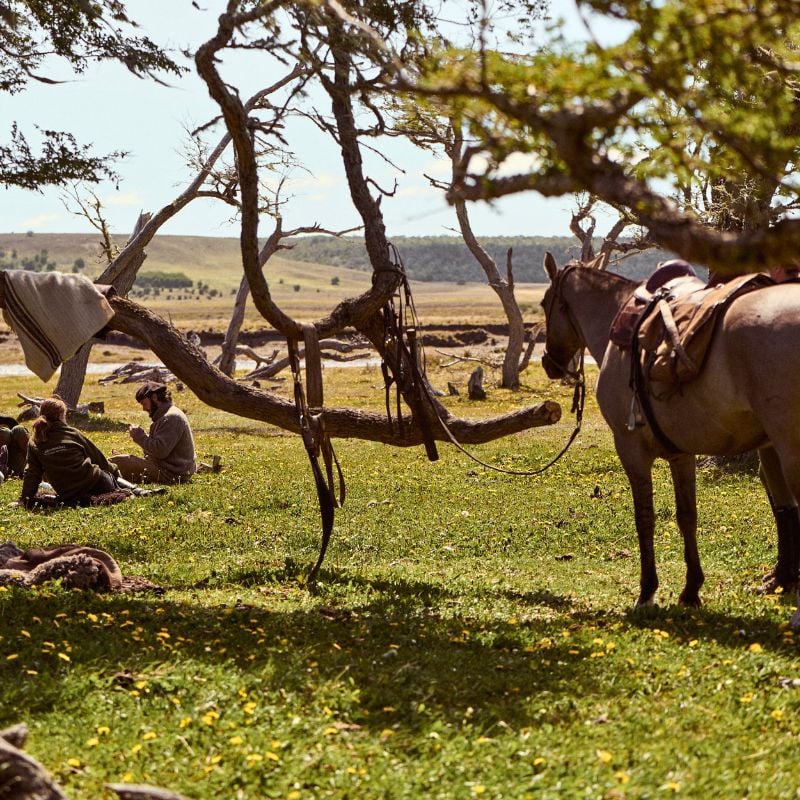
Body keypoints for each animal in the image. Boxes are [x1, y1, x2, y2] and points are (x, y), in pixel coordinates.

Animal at [540, 251, 800, 627]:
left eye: (545, 302)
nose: (549, 362)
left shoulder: (630, 449)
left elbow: (644, 519)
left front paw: (647, 591)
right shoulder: (681, 455)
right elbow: (686, 516)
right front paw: (691, 590)